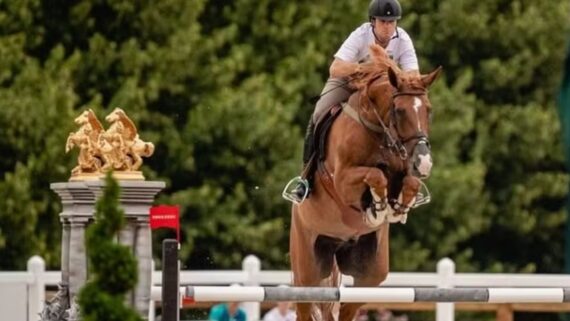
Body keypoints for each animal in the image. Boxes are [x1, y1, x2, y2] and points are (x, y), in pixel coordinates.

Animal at [288, 43, 440, 320]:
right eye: (399, 110)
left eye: (428, 110)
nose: (424, 162)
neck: (379, 130)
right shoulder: (343, 181)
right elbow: (375, 175)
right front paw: (378, 208)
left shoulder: (404, 171)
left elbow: (409, 183)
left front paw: (396, 209)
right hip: (308, 268)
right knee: (304, 303)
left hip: (370, 271)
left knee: (349, 306)